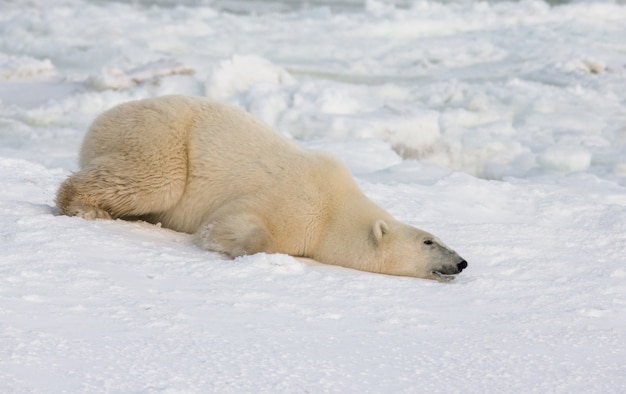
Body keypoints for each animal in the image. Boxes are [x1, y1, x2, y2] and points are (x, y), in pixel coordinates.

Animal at [57, 95, 464, 280]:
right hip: (158, 137)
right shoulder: (297, 201)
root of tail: (99, 121)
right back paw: (85, 206)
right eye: (429, 241)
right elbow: (238, 221)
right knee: (156, 180)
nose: (462, 262)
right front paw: (237, 246)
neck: (336, 209)